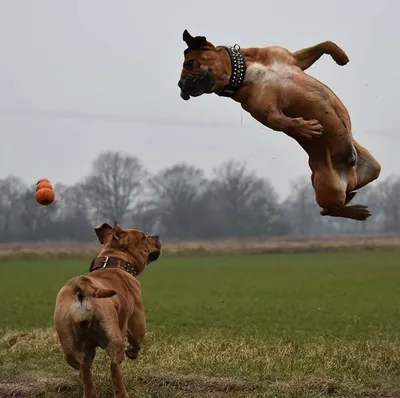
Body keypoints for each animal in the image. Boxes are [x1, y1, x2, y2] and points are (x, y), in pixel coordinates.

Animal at [53, 222, 162, 396]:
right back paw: (122, 392)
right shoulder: (138, 322)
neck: (114, 261)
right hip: (114, 339)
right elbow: (136, 340)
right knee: (114, 367)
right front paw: (132, 352)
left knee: (84, 368)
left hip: (70, 347)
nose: (156, 236)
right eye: (143, 237)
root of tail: (80, 284)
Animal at [178, 30, 382, 221]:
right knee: (327, 210)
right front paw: (304, 128)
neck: (243, 73)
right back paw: (357, 212)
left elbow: (325, 44)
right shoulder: (265, 111)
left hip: (373, 168)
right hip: (329, 186)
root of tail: (351, 176)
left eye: (189, 63)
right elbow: (280, 121)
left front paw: (340, 55)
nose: (180, 85)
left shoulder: (292, 58)